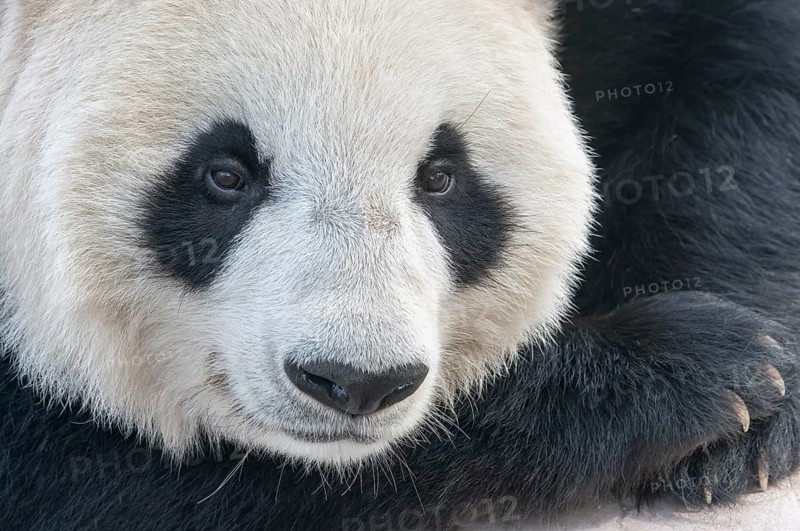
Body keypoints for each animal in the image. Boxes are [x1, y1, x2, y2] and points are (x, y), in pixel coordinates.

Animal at [1, 0, 799, 529]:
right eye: (225, 175)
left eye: (441, 176)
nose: (359, 382)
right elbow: (84, 480)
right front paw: (679, 376)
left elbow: (736, 70)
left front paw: (752, 406)